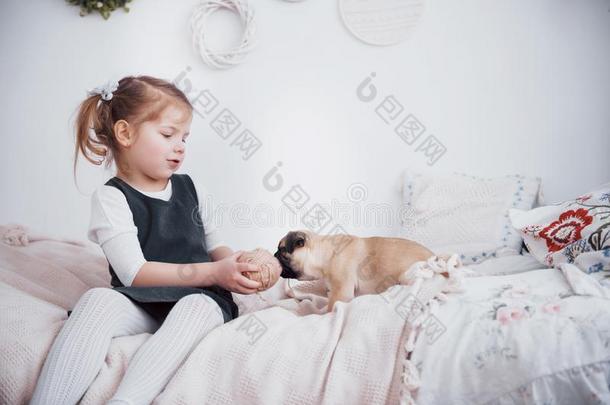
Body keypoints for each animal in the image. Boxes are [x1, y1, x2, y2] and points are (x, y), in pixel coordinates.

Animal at [274, 229, 434, 310]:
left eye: (282, 250)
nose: (274, 255)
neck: (326, 254)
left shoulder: (341, 293)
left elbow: (331, 308)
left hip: (406, 275)